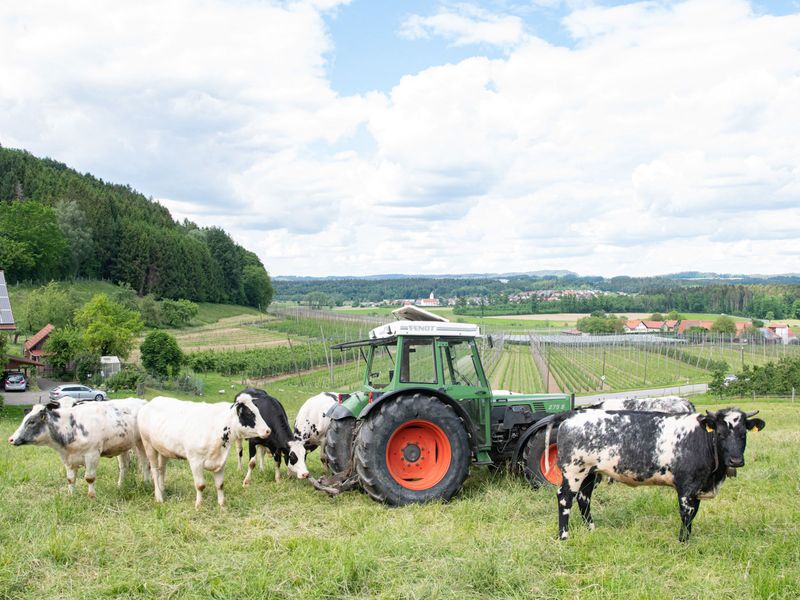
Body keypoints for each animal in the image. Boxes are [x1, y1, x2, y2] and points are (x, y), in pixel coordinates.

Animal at [7, 398, 149, 496]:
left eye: (31, 422)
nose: (11, 439)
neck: (71, 427)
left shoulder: (92, 455)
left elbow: (89, 478)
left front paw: (91, 496)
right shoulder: (67, 459)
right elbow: (70, 479)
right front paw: (71, 496)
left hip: (141, 444)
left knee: (145, 464)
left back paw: (147, 483)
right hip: (122, 446)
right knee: (124, 466)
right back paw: (120, 486)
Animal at [138, 396, 272, 508]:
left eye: (258, 411)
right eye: (249, 413)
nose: (268, 430)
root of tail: (151, 402)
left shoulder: (220, 462)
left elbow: (220, 484)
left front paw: (222, 505)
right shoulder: (195, 461)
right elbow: (200, 485)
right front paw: (199, 505)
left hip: (163, 449)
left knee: (162, 469)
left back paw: (162, 490)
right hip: (148, 445)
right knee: (154, 471)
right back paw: (159, 497)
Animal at [552, 406, 764, 540]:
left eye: (743, 434)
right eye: (720, 434)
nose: (735, 461)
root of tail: (573, 415)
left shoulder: (696, 489)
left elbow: (693, 514)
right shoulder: (686, 488)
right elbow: (686, 515)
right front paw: (683, 542)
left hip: (590, 472)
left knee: (584, 498)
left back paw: (592, 529)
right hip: (574, 470)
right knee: (565, 498)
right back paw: (564, 535)